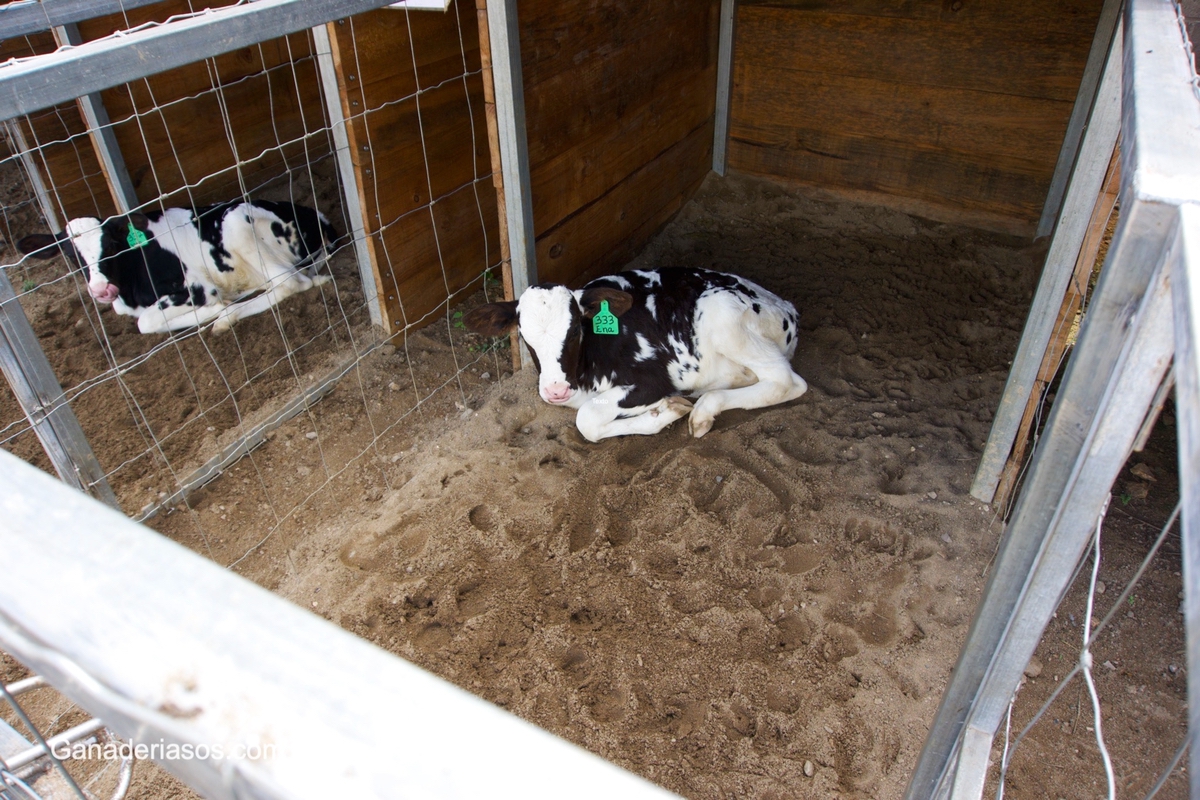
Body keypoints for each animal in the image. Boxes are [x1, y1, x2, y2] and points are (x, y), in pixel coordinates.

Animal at [17, 203, 338, 338]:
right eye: (71, 255)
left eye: (110, 245)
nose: (100, 289)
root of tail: (318, 216)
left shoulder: (195, 288)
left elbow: (145, 322)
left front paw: (214, 311)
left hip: (236, 222)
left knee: (292, 282)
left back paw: (225, 316)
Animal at [463, 268, 811, 443]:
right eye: (525, 337)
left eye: (574, 330)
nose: (555, 391)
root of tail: (787, 307)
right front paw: (663, 410)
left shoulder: (655, 379)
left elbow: (586, 419)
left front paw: (666, 410)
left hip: (722, 313)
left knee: (788, 382)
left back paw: (703, 410)